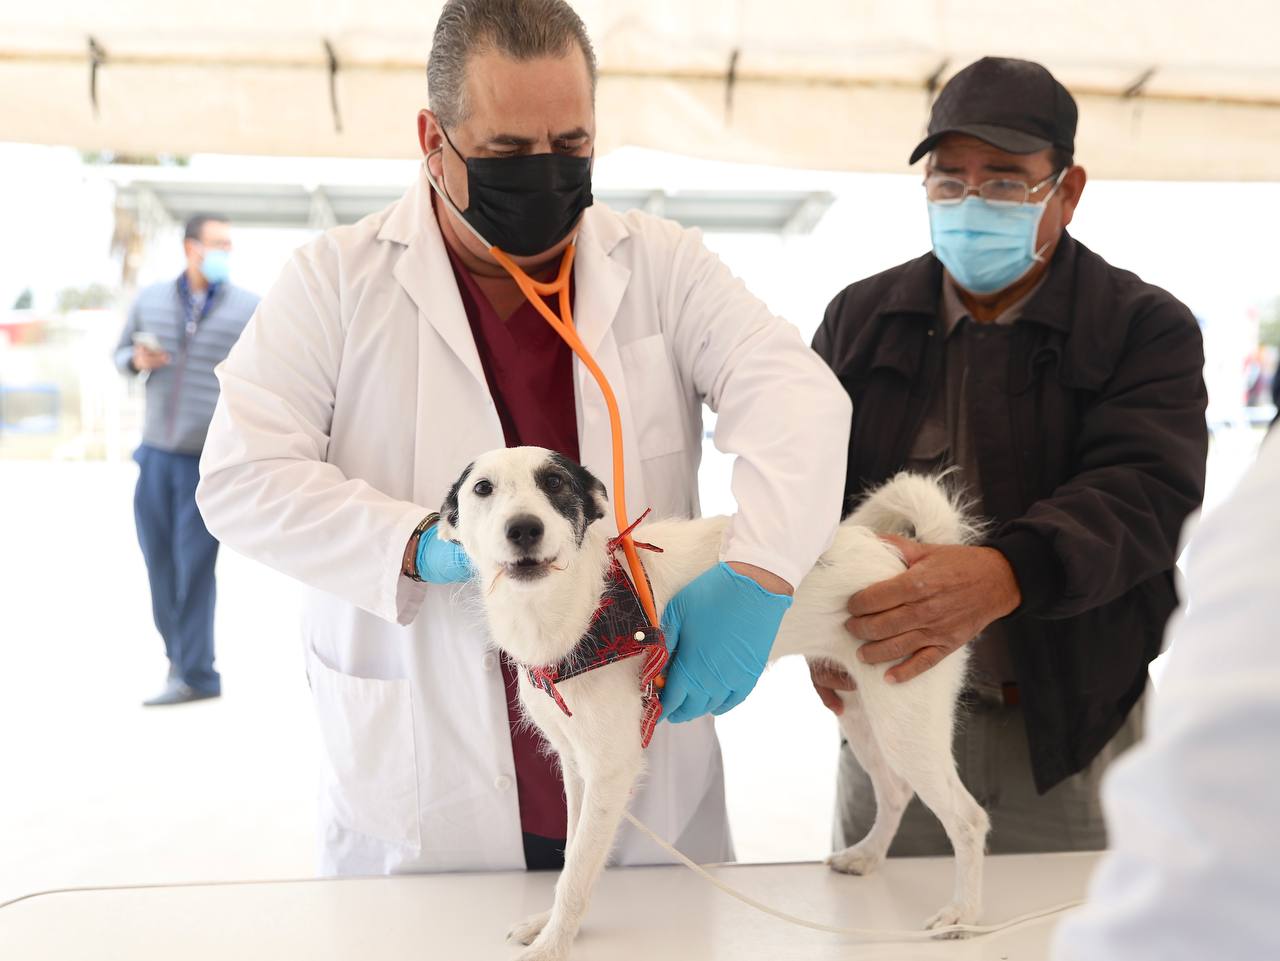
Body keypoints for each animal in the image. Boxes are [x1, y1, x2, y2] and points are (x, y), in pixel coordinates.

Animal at [440, 447, 988, 957]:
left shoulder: (610, 770)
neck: (578, 609)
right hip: (861, 713)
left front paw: (553, 944)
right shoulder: (576, 766)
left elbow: (577, 870)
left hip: (904, 719)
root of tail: (906, 556)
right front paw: (548, 923)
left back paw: (964, 914)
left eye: (554, 483)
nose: (524, 529)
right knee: (895, 791)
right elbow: (574, 851)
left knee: (967, 818)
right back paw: (869, 856)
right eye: (483, 488)